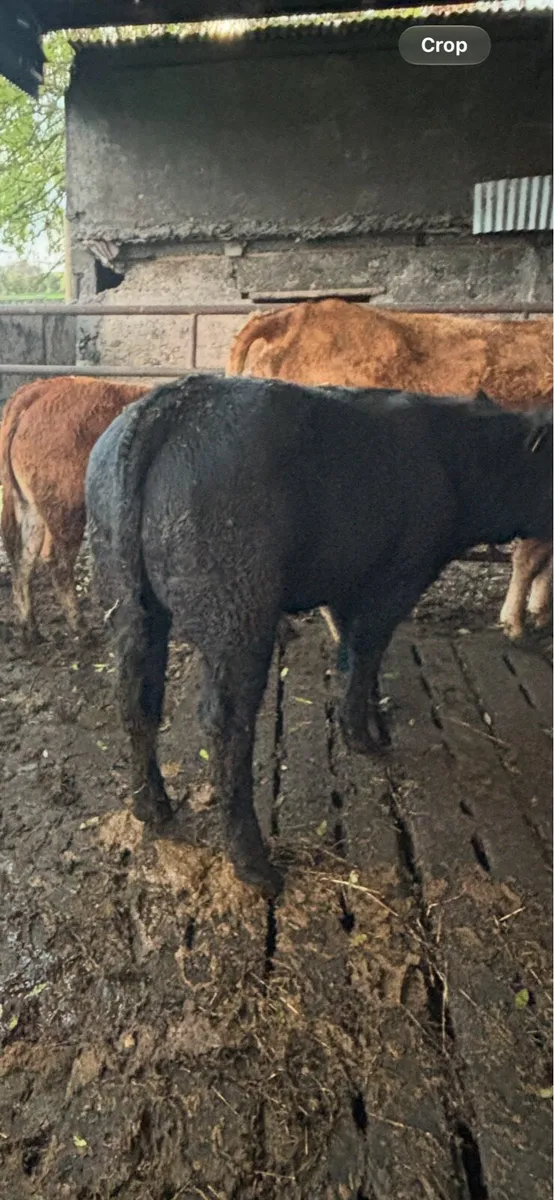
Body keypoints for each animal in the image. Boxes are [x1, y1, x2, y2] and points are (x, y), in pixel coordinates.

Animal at [0, 376, 149, 640]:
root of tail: (43, 388)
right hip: (68, 511)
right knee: (58, 563)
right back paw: (81, 628)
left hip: (30, 509)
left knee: (24, 559)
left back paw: (31, 629)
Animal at [85, 373, 552, 898]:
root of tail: (169, 404)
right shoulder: (395, 578)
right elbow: (365, 650)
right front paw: (364, 736)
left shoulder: (349, 581)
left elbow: (351, 651)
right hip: (237, 611)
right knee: (225, 724)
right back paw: (255, 866)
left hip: (126, 599)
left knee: (135, 697)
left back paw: (152, 808)